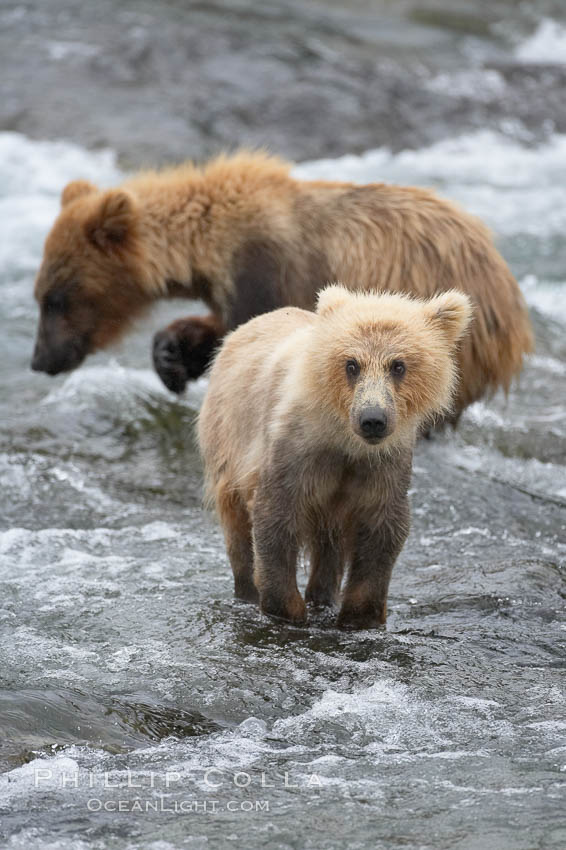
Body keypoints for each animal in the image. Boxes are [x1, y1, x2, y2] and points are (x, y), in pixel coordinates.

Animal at [31, 151, 536, 422]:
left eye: (55, 299)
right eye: (41, 296)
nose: (40, 360)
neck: (212, 249)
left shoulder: (270, 269)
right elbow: (225, 330)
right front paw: (171, 357)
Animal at [197, 288, 472, 628]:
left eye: (398, 365)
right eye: (351, 364)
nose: (372, 419)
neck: (344, 440)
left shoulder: (383, 465)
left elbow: (382, 529)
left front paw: (361, 614)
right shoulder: (297, 450)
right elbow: (275, 515)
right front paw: (286, 608)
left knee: (329, 542)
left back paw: (323, 596)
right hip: (228, 434)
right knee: (235, 519)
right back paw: (247, 589)